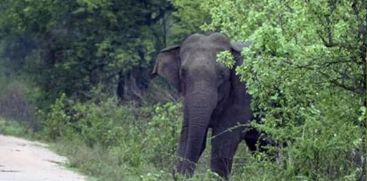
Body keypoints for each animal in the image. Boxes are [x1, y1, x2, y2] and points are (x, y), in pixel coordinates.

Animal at [151, 32, 268, 178]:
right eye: (182, 73)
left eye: (222, 74)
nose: (181, 175)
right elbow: (187, 134)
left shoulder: (245, 90)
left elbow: (224, 139)